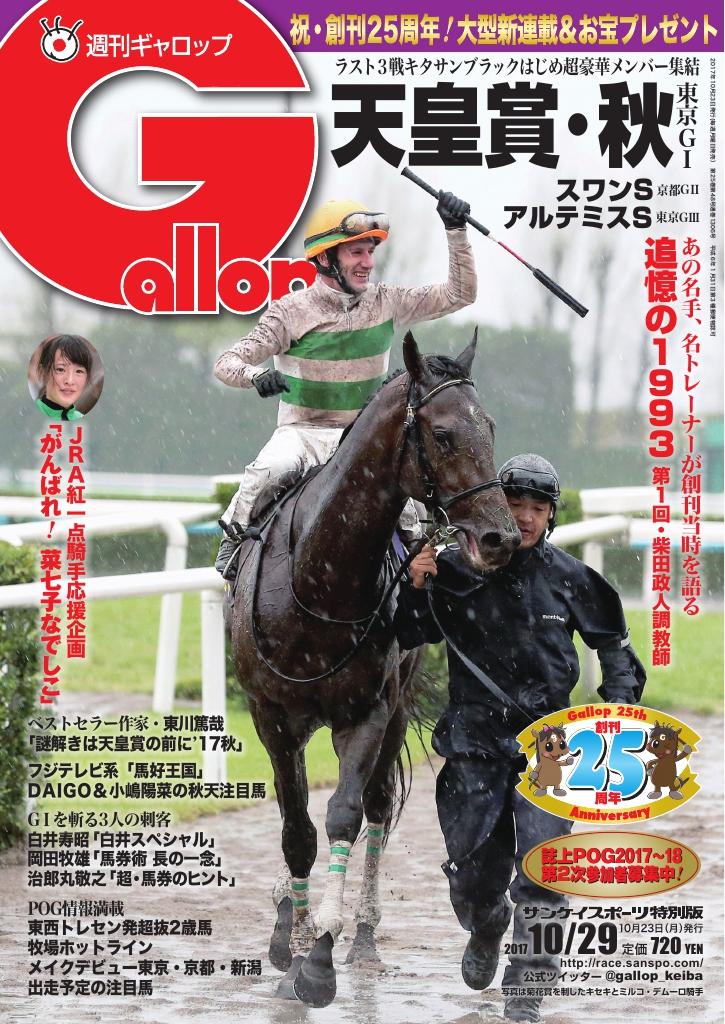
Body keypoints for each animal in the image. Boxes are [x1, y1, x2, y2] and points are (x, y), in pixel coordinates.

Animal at [229, 329, 521, 1007]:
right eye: (443, 433)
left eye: (490, 427)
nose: (499, 537)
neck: (319, 579)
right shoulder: (270, 715)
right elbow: (296, 827)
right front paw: (295, 938)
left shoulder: (367, 711)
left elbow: (346, 813)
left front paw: (322, 954)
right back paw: (287, 917)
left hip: (394, 707)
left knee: (381, 805)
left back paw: (360, 935)